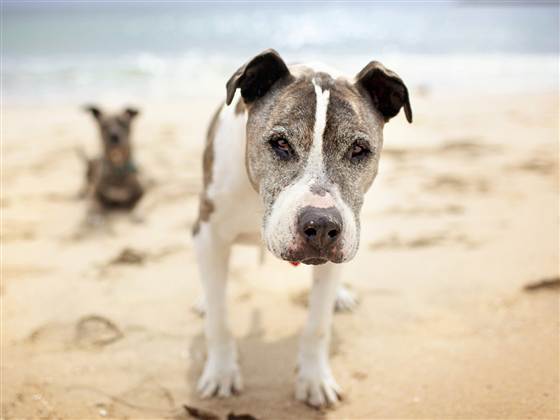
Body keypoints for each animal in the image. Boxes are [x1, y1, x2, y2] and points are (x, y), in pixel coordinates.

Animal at [192, 48, 412, 406]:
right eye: (280, 143)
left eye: (359, 150)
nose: (321, 224)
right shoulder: (209, 233)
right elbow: (219, 319)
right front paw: (222, 372)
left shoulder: (337, 249)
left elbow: (317, 325)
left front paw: (314, 379)